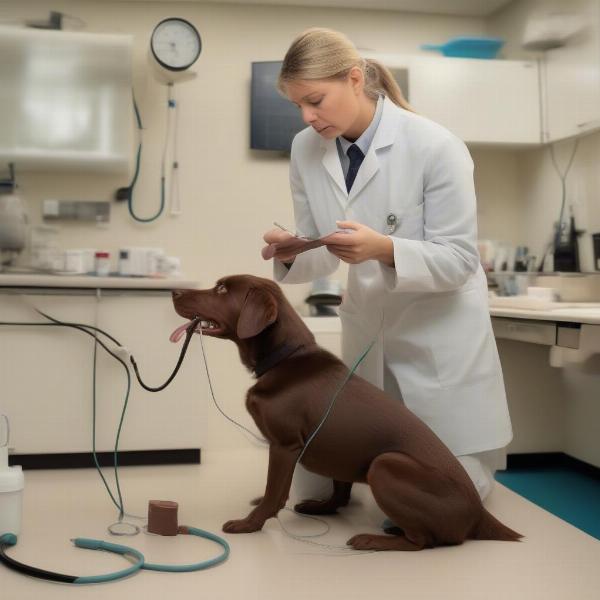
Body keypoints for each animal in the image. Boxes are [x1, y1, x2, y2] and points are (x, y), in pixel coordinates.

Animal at [170, 274, 520, 552]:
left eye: (221, 289)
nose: (174, 291)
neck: (285, 358)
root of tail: (479, 514)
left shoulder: (283, 445)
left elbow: (274, 493)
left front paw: (250, 523)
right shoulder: (326, 443)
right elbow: (326, 488)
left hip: (385, 464)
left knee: (423, 540)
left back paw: (374, 540)